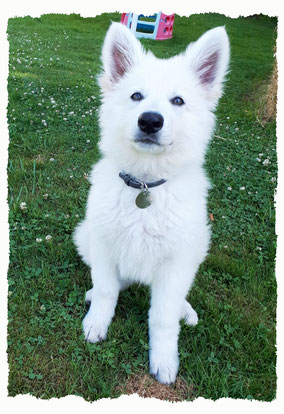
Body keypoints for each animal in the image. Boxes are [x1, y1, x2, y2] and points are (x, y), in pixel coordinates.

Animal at [73, 22, 229, 384]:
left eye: (178, 101)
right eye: (136, 96)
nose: (150, 121)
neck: (145, 184)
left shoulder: (176, 263)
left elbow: (163, 317)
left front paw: (164, 360)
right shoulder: (104, 244)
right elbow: (106, 289)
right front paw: (96, 323)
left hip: (197, 248)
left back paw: (185, 309)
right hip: (84, 235)